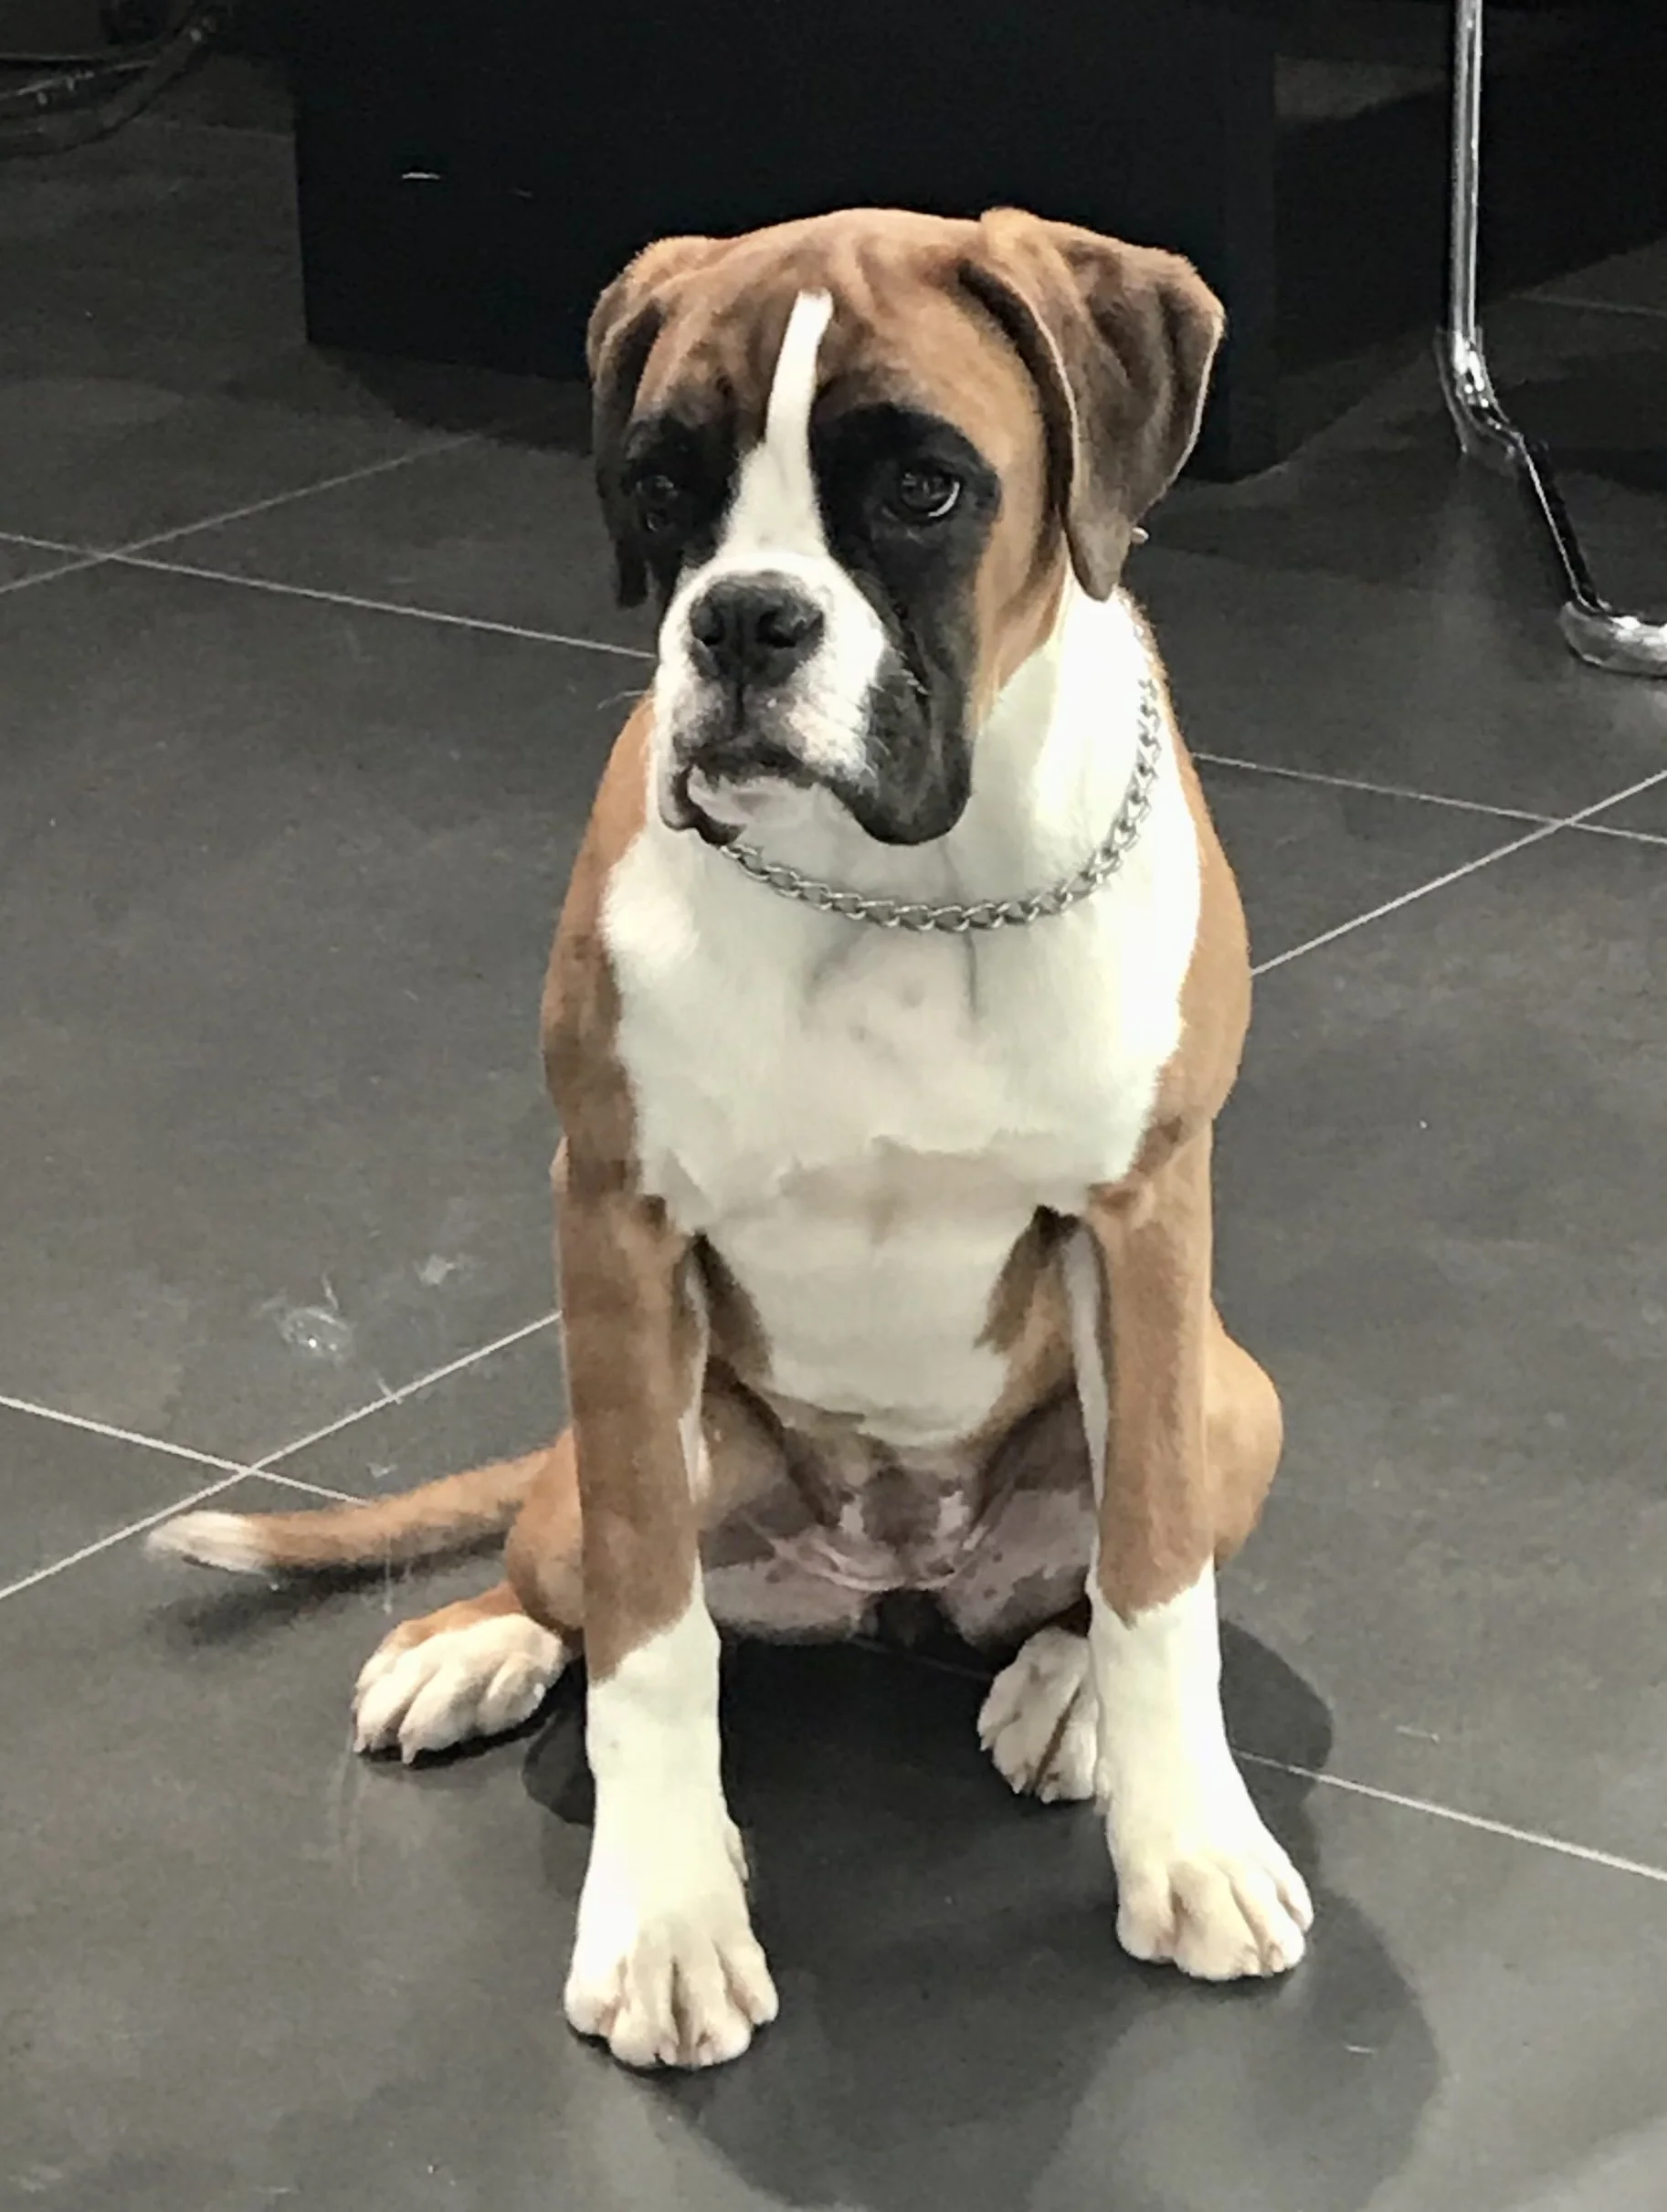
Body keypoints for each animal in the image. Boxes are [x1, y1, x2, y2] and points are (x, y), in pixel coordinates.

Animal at [151, 206, 1311, 2071]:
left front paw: (1189, 1841)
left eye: (923, 487)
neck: (904, 890)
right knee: (572, 1564)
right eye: (660, 485)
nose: (745, 620)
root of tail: (891, 1570)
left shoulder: (1147, 1218)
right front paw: (667, 1918)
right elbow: (647, 1632)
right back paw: (472, 1648)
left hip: (1232, 1392)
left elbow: (1151, 1577)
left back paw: (1063, 1693)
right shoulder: (613, 1224)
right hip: (616, 1448)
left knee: (1119, 1554)